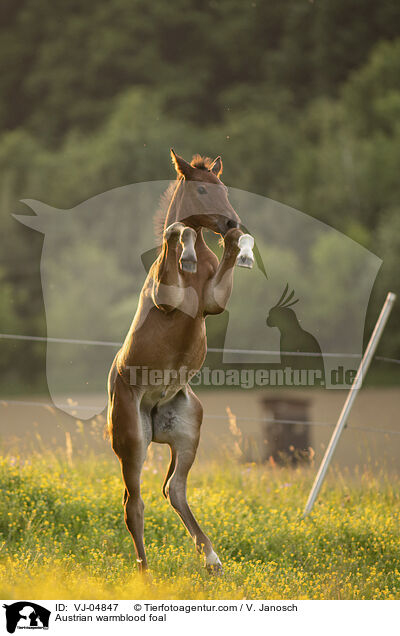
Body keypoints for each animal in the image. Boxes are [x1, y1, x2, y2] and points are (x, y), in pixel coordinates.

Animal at [107, 149, 253, 572]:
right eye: (202, 189)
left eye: (224, 187)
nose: (231, 219)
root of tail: (154, 411)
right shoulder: (166, 296)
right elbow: (175, 229)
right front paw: (184, 251)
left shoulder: (214, 302)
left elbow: (228, 251)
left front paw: (240, 245)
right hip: (132, 439)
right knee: (133, 503)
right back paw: (145, 573)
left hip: (188, 431)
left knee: (173, 488)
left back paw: (212, 559)